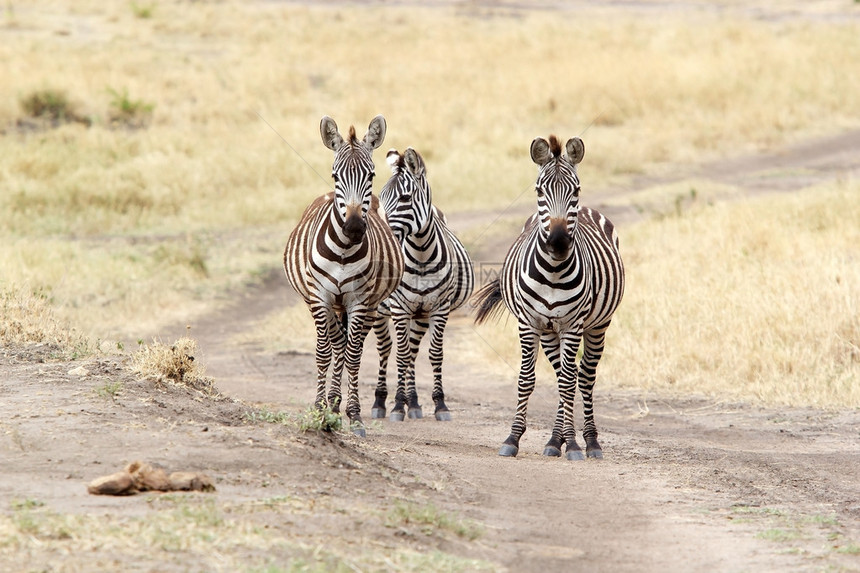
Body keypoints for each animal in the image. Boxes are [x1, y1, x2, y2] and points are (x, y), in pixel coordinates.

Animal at [282, 117, 404, 438]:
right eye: (336, 176)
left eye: (371, 175)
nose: (354, 227)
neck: (344, 251)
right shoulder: (319, 297)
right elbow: (324, 352)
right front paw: (319, 409)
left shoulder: (359, 300)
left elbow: (353, 355)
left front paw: (354, 415)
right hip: (324, 302)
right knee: (336, 343)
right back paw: (331, 403)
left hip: (369, 305)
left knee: (349, 346)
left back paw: (338, 404)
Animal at [372, 149, 478, 420]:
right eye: (382, 198)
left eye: (405, 197)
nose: (382, 233)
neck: (420, 255)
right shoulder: (399, 308)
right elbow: (399, 355)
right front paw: (397, 406)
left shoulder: (439, 308)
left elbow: (434, 354)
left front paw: (439, 404)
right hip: (376, 310)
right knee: (384, 349)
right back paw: (379, 401)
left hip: (419, 315)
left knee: (412, 351)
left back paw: (414, 403)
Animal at [470, 134, 624, 460]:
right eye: (539, 190)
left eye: (576, 190)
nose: (558, 242)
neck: (553, 271)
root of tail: (591, 210)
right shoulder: (529, 323)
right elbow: (527, 378)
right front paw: (513, 438)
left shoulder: (573, 325)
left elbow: (569, 382)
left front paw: (575, 444)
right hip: (550, 331)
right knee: (562, 374)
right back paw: (555, 440)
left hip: (598, 326)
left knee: (583, 377)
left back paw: (589, 441)